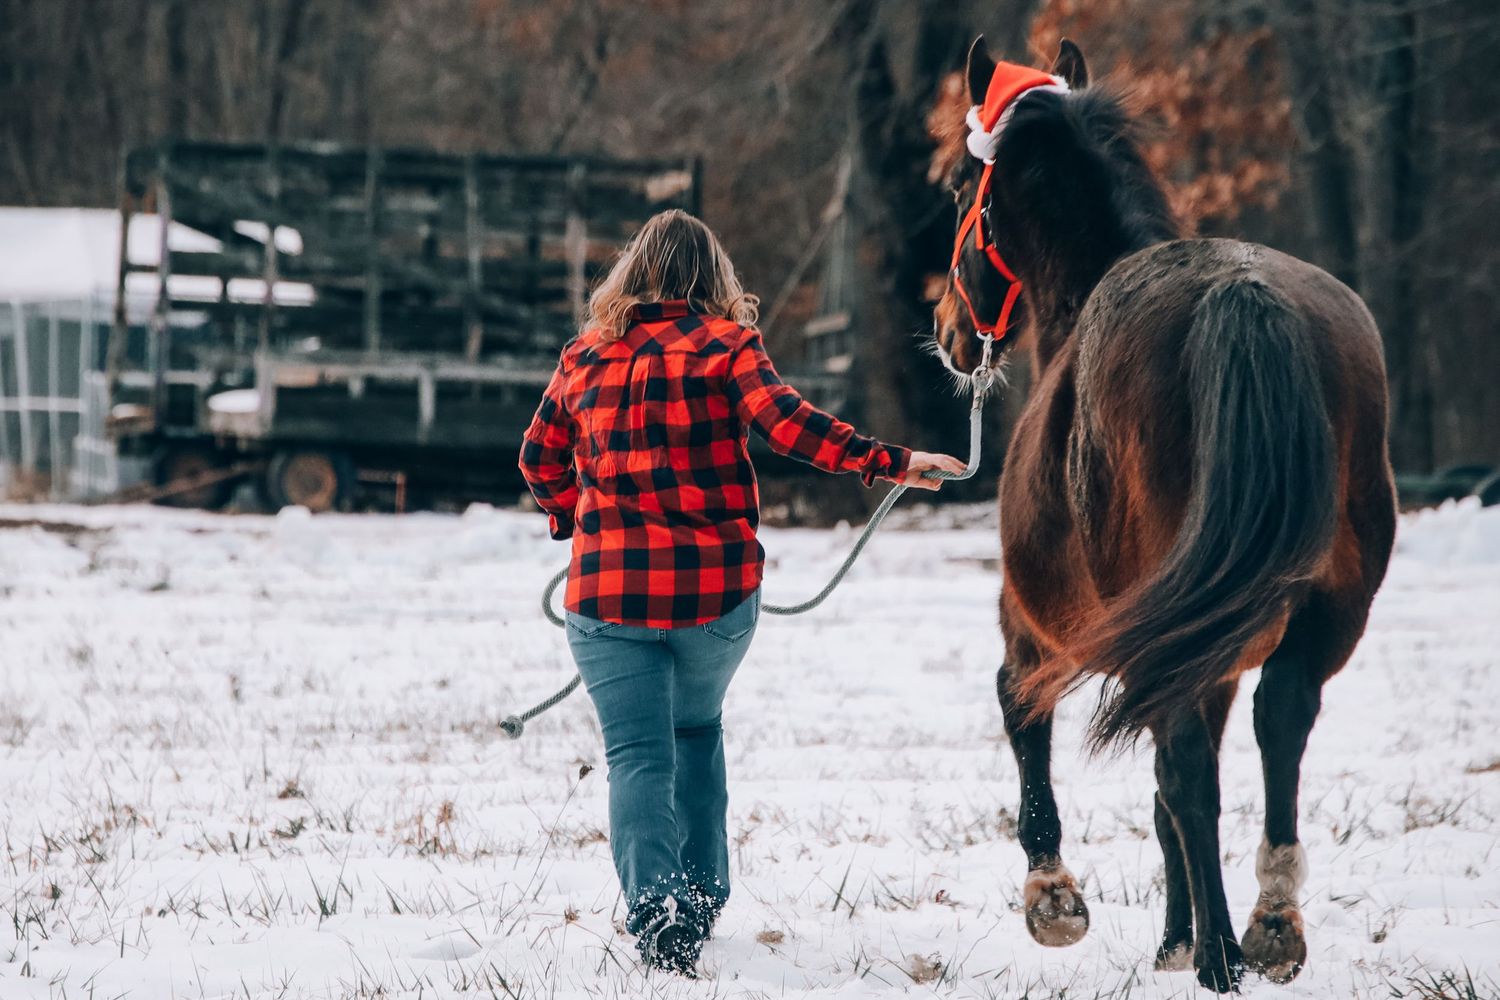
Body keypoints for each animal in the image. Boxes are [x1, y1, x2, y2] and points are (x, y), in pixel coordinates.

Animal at [931, 37, 1397, 992]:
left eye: (961, 188)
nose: (950, 332)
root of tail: (1244, 295)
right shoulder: (1202, 645)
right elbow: (1170, 792)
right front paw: (1175, 935)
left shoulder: (1032, 626)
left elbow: (1024, 715)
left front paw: (1055, 898)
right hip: (1324, 610)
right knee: (1279, 723)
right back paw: (1268, 926)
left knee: (1184, 766)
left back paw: (1222, 954)